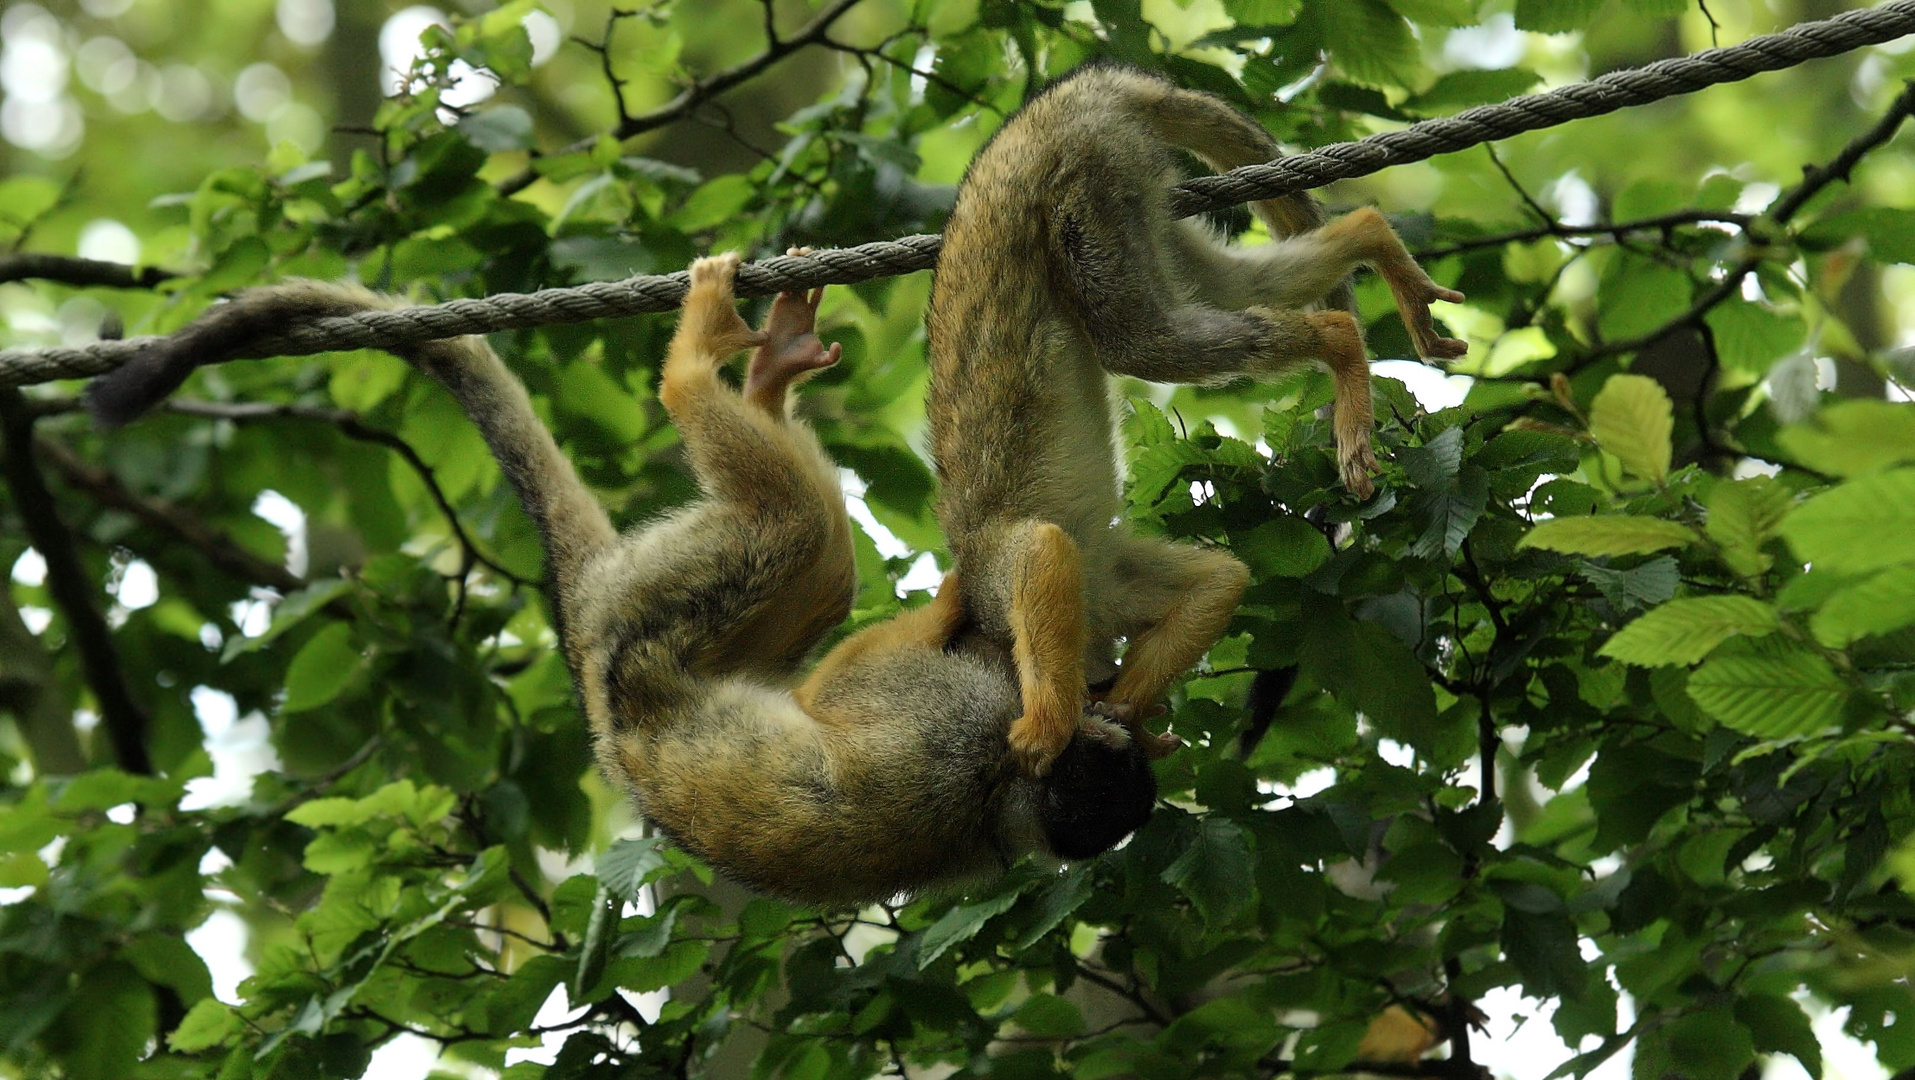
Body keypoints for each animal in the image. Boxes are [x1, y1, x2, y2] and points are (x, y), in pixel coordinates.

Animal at [82, 252, 1149, 903]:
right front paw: (974, 607)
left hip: (647, 627)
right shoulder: (968, 725)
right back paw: (737, 372)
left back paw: (709, 376)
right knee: (812, 551)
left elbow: (851, 689)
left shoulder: (967, 731)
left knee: (804, 544)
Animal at [926, 63, 1463, 773]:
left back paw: (1338, 340)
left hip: (1084, 170)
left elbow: (1041, 548)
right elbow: (1221, 580)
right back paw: (1369, 241)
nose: (1096, 678)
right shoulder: (1106, 586)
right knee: (1222, 285)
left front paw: (1045, 728)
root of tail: (1080, 89)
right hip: (1132, 176)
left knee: (1136, 338)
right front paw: (1129, 714)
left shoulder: (993, 574)